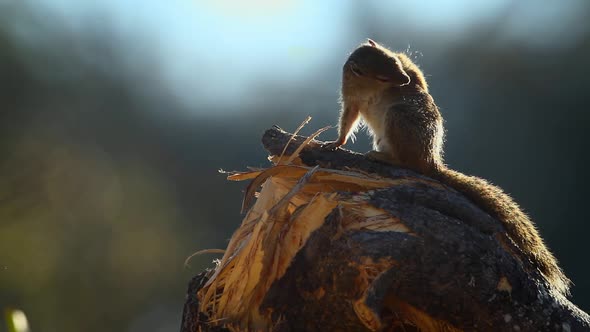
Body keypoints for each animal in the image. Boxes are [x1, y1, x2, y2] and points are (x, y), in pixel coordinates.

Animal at [326, 38, 572, 296]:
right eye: (381, 77)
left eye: (393, 60)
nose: (403, 80)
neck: (369, 87)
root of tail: (430, 161)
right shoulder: (351, 100)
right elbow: (347, 121)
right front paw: (337, 142)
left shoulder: (405, 69)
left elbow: (418, 77)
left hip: (397, 117)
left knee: (409, 162)